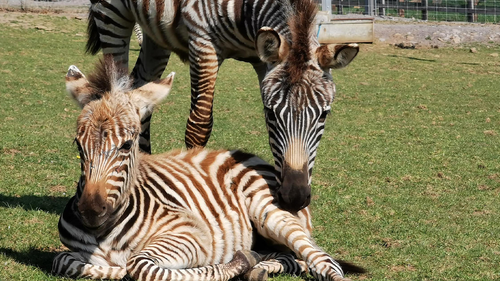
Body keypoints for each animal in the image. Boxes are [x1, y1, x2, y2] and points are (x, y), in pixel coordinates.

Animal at [52, 57, 362, 280]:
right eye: (78, 145)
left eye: (127, 145)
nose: (90, 211)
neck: (105, 232)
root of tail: (249, 156)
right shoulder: (73, 254)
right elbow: (63, 260)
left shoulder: (191, 235)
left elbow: (140, 265)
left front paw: (235, 263)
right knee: (294, 259)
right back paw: (260, 267)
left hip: (271, 213)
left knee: (322, 261)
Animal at [86, 0, 360, 211]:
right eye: (271, 114)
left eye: (324, 115)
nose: (294, 198)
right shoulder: (202, 42)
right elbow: (199, 125)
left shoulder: (261, 60)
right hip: (111, 15)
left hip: (156, 33)